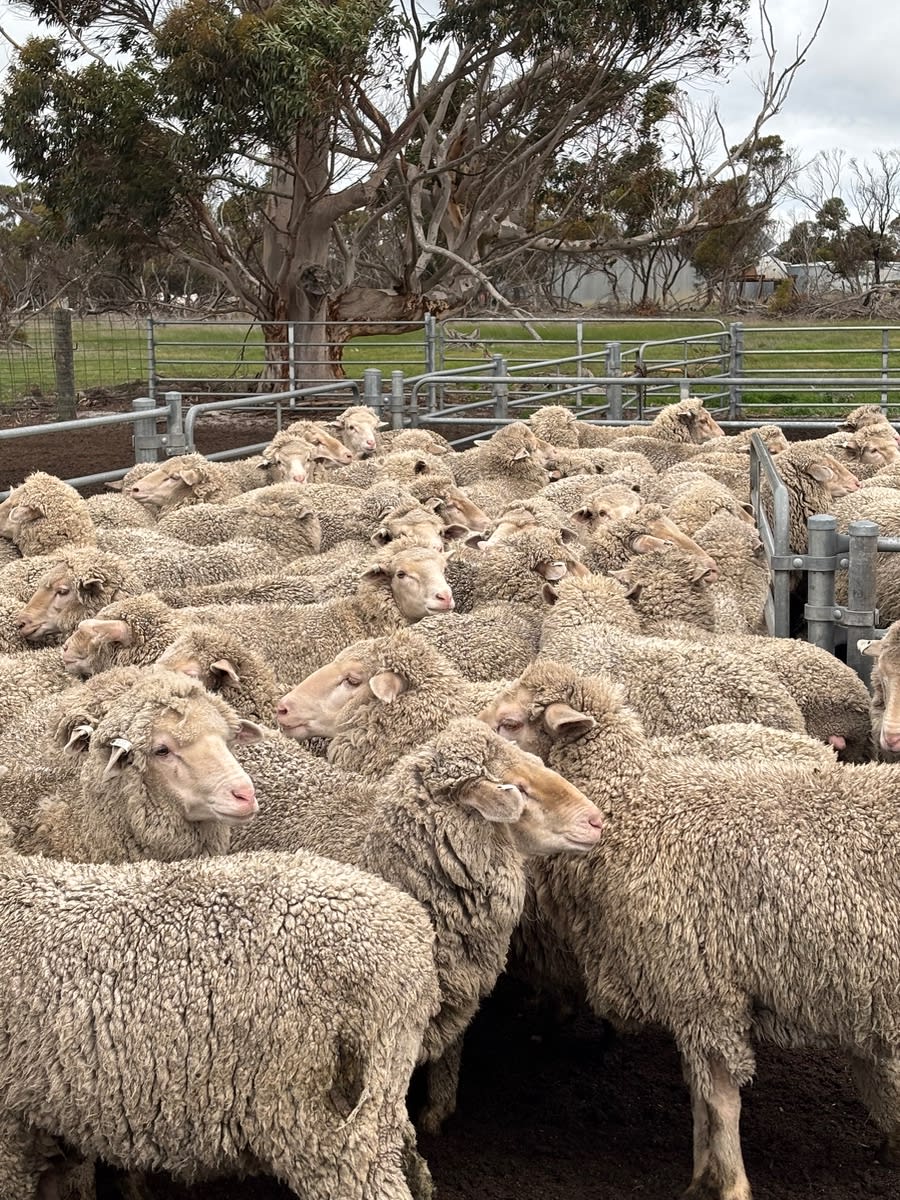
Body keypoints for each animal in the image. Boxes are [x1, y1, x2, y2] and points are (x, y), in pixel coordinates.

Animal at [480, 658, 900, 1199]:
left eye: (510, 723)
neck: (636, 811)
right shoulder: (687, 999)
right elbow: (701, 1098)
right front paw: (702, 1178)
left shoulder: (705, 993)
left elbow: (720, 1102)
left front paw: (729, 1183)